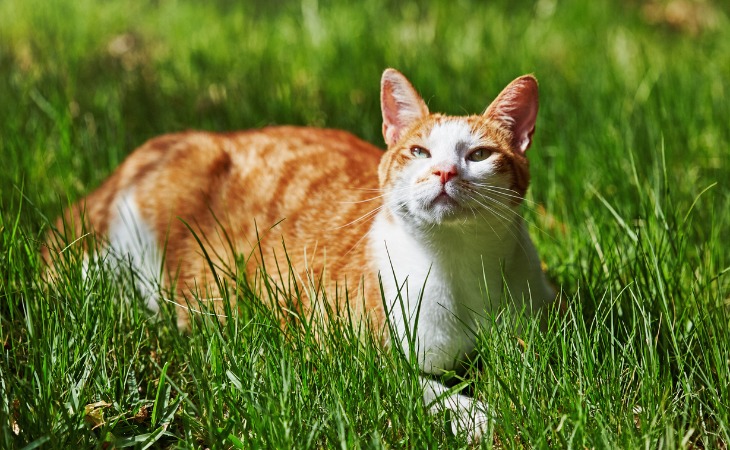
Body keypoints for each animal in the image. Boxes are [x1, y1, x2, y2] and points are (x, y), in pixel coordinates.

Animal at [45, 68, 556, 442]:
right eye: (419, 151)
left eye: (479, 154)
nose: (446, 171)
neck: (460, 265)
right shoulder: (345, 356)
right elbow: (425, 389)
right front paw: (479, 415)